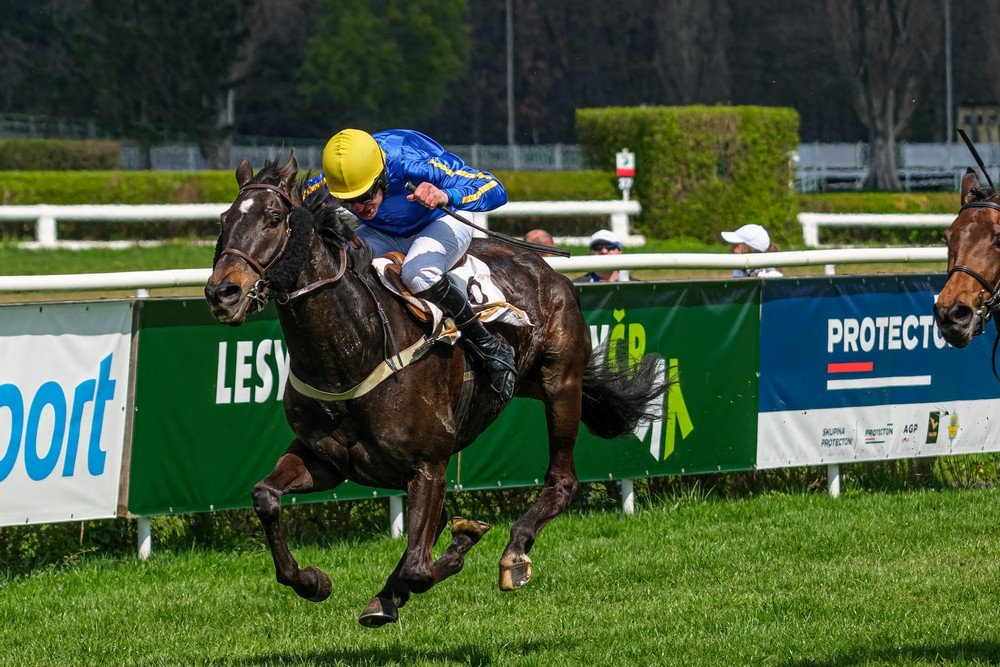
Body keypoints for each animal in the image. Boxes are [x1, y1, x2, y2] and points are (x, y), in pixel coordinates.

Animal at [204, 153, 666, 627]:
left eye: (273, 219)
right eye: (223, 220)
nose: (223, 292)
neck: (355, 352)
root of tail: (547, 270)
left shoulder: (428, 465)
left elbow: (420, 567)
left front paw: (459, 545)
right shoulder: (325, 460)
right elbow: (265, 498)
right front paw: (313, 581)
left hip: (562, 383)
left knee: (563, 482)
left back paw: (515, 553)